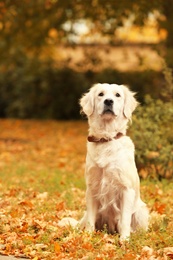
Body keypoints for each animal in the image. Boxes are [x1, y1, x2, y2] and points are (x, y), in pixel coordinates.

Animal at [79, 84, 149, 242]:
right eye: (101, 94)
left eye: (117, 95)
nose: (108, 101)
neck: (106, 139)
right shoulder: (92, 187)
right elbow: (90, 220)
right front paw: (88, 237)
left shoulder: (126, 189)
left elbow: (125, 220)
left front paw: (124, 240)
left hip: (141, 211)